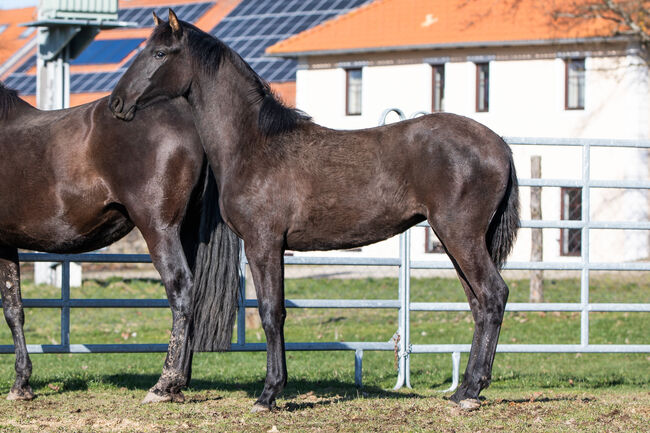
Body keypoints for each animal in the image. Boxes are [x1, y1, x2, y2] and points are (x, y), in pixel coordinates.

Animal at [0, 83, 240, 402]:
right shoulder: (5, 244)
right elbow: (14, 308)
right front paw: (21, 383)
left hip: (159, 229)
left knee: (181, 289)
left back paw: (165, 383)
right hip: (187, 231)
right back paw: (180, 383)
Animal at [109, 11, 520, 412]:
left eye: (160, 53)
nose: (116, 103)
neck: (255, 145)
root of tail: (498, 144)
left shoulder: (263, 243)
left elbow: (271, 313)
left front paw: (269, 394)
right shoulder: (274, 247)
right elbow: (276, 313)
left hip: (460, 236)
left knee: (493, 295)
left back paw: (471, 392)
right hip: (454, 241)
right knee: (478, 303)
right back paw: (463, 389)